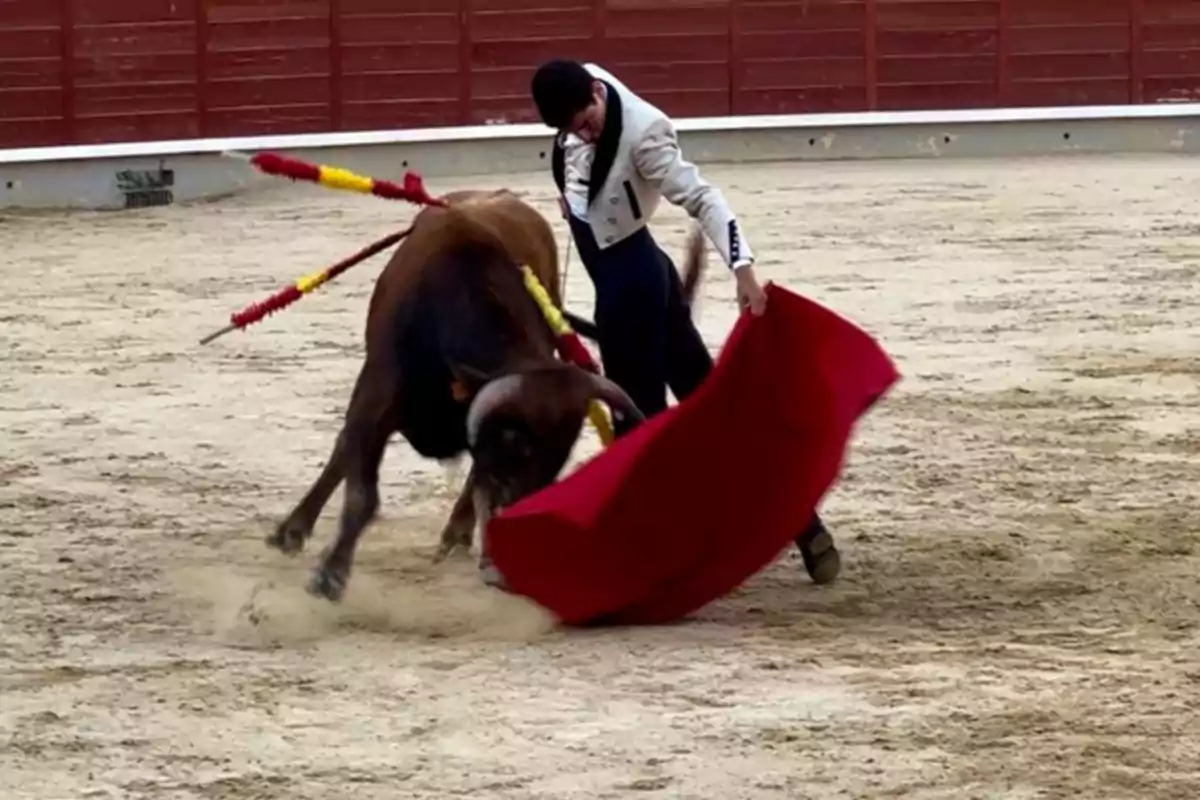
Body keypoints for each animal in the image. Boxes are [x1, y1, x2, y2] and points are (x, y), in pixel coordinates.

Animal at [267, 189, 705, 599]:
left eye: (560, 456)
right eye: (517, 442)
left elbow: (478, 484)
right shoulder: (376, 393)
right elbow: (360, 487)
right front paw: (330, 574)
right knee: (344, 450)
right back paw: (292, 530)